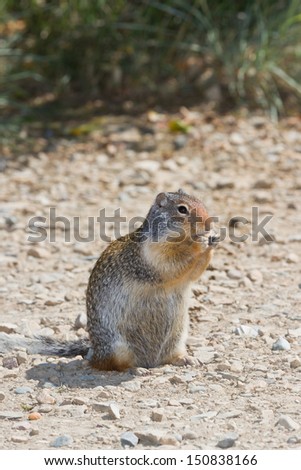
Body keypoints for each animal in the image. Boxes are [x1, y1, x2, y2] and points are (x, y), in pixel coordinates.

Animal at [0, 189, 218, 370]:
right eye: (182, 209)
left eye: (200, 200)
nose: (209, 223)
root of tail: (93, 350)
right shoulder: (153, 256)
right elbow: (172, 265)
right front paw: (201, 242)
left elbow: (194, 272)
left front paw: (212, 239)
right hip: (118, 348)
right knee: (109, 365)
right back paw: (136, 369)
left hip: (177, 338)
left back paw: (186, 359)